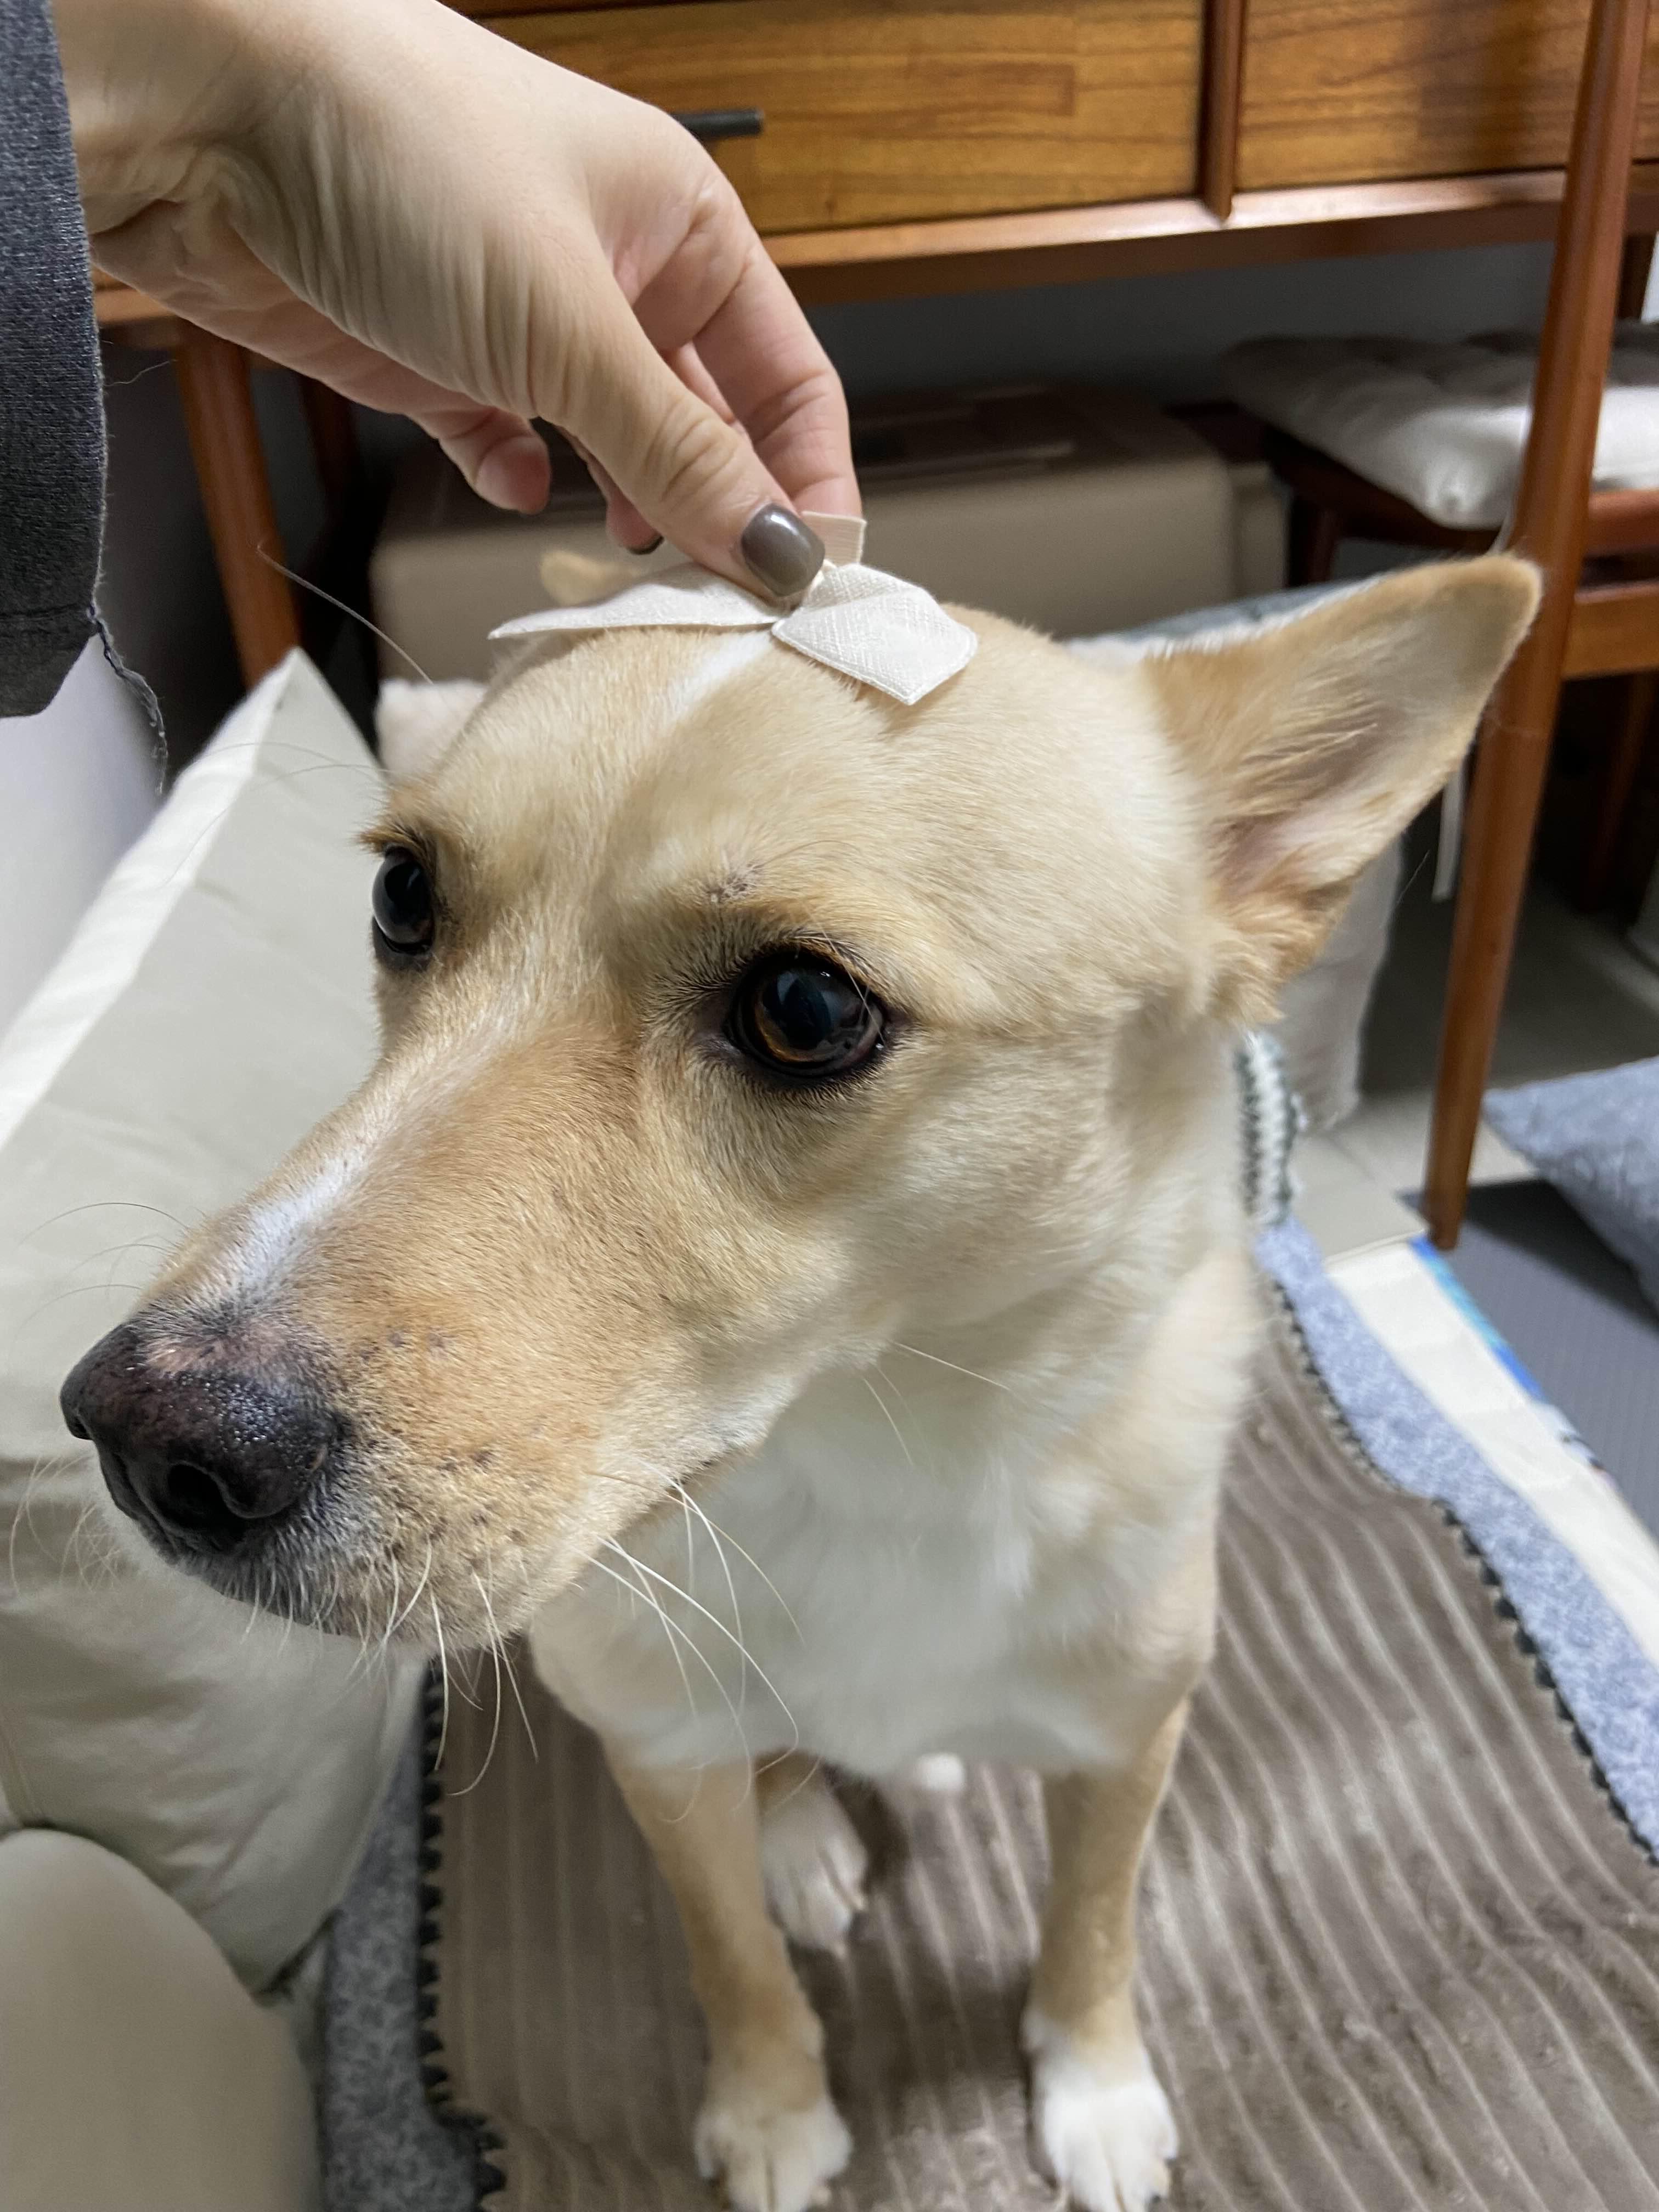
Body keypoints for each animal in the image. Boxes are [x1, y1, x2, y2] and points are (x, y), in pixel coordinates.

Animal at [62, 553, 1535, 2212]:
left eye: (807, 1011)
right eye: (404, 898)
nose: (154, 1437)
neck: (872, 1456)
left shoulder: (1131, 1737)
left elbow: (1092, 1928)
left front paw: (1094, 2086)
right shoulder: (657, 1757)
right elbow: (734, 1962)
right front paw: (773, 2109)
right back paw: (806, 1835)